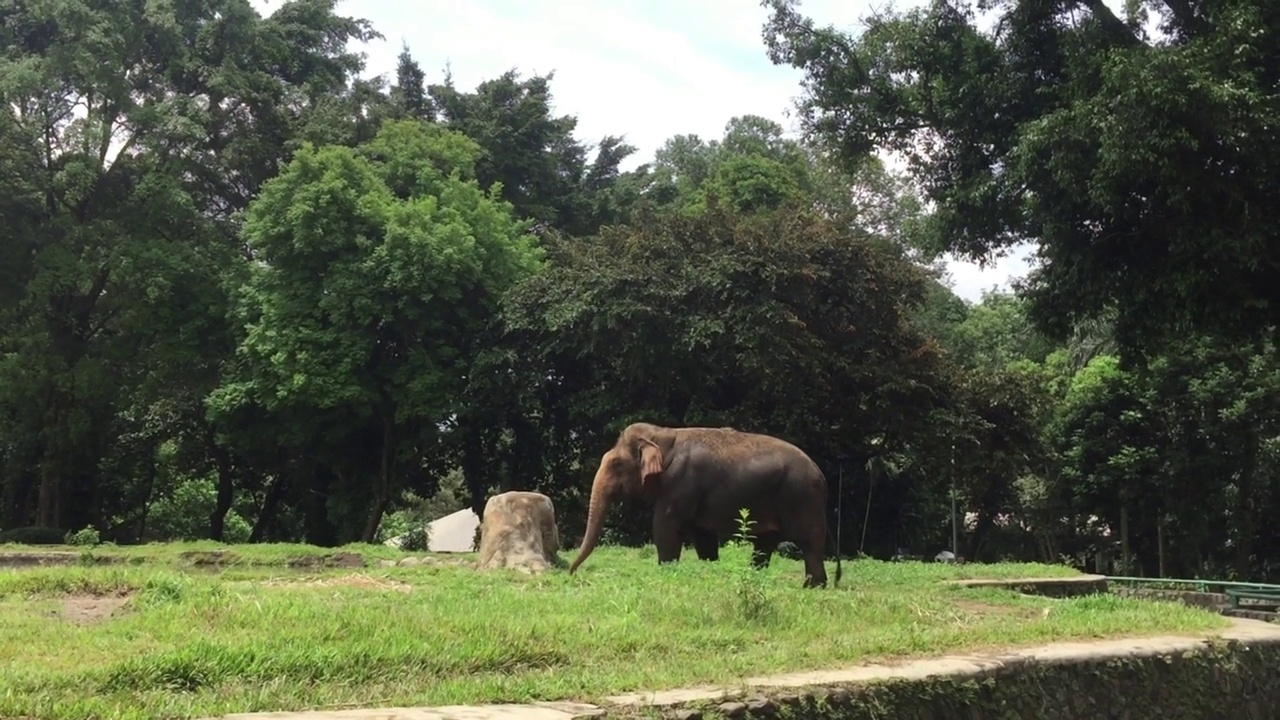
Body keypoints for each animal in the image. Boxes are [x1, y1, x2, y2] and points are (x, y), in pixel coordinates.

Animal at [568, 420, 839, 584]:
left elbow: (665, 529)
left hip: (801, 497)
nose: (571, 573)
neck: (664, 434)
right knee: (764, 544)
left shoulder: (679, 482)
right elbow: (703, 537)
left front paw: (666, 575)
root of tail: (822, 476)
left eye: (616, 464)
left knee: (809, 542)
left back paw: (813, 587)